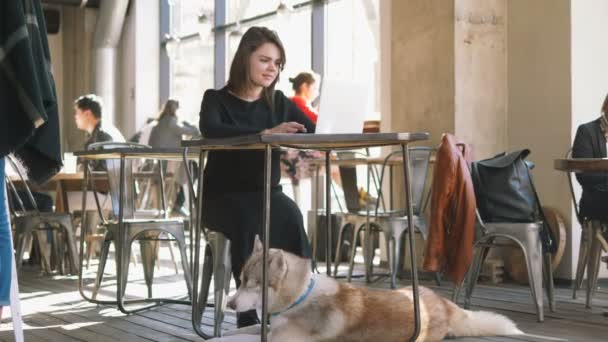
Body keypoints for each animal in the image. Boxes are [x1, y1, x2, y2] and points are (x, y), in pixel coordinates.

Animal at [228, 236, 524, 340]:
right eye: (240, 280)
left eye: (254, 285)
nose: (229, 304)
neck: (299, 297)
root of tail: (443, 303)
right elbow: (250, 329)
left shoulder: (287, 338)